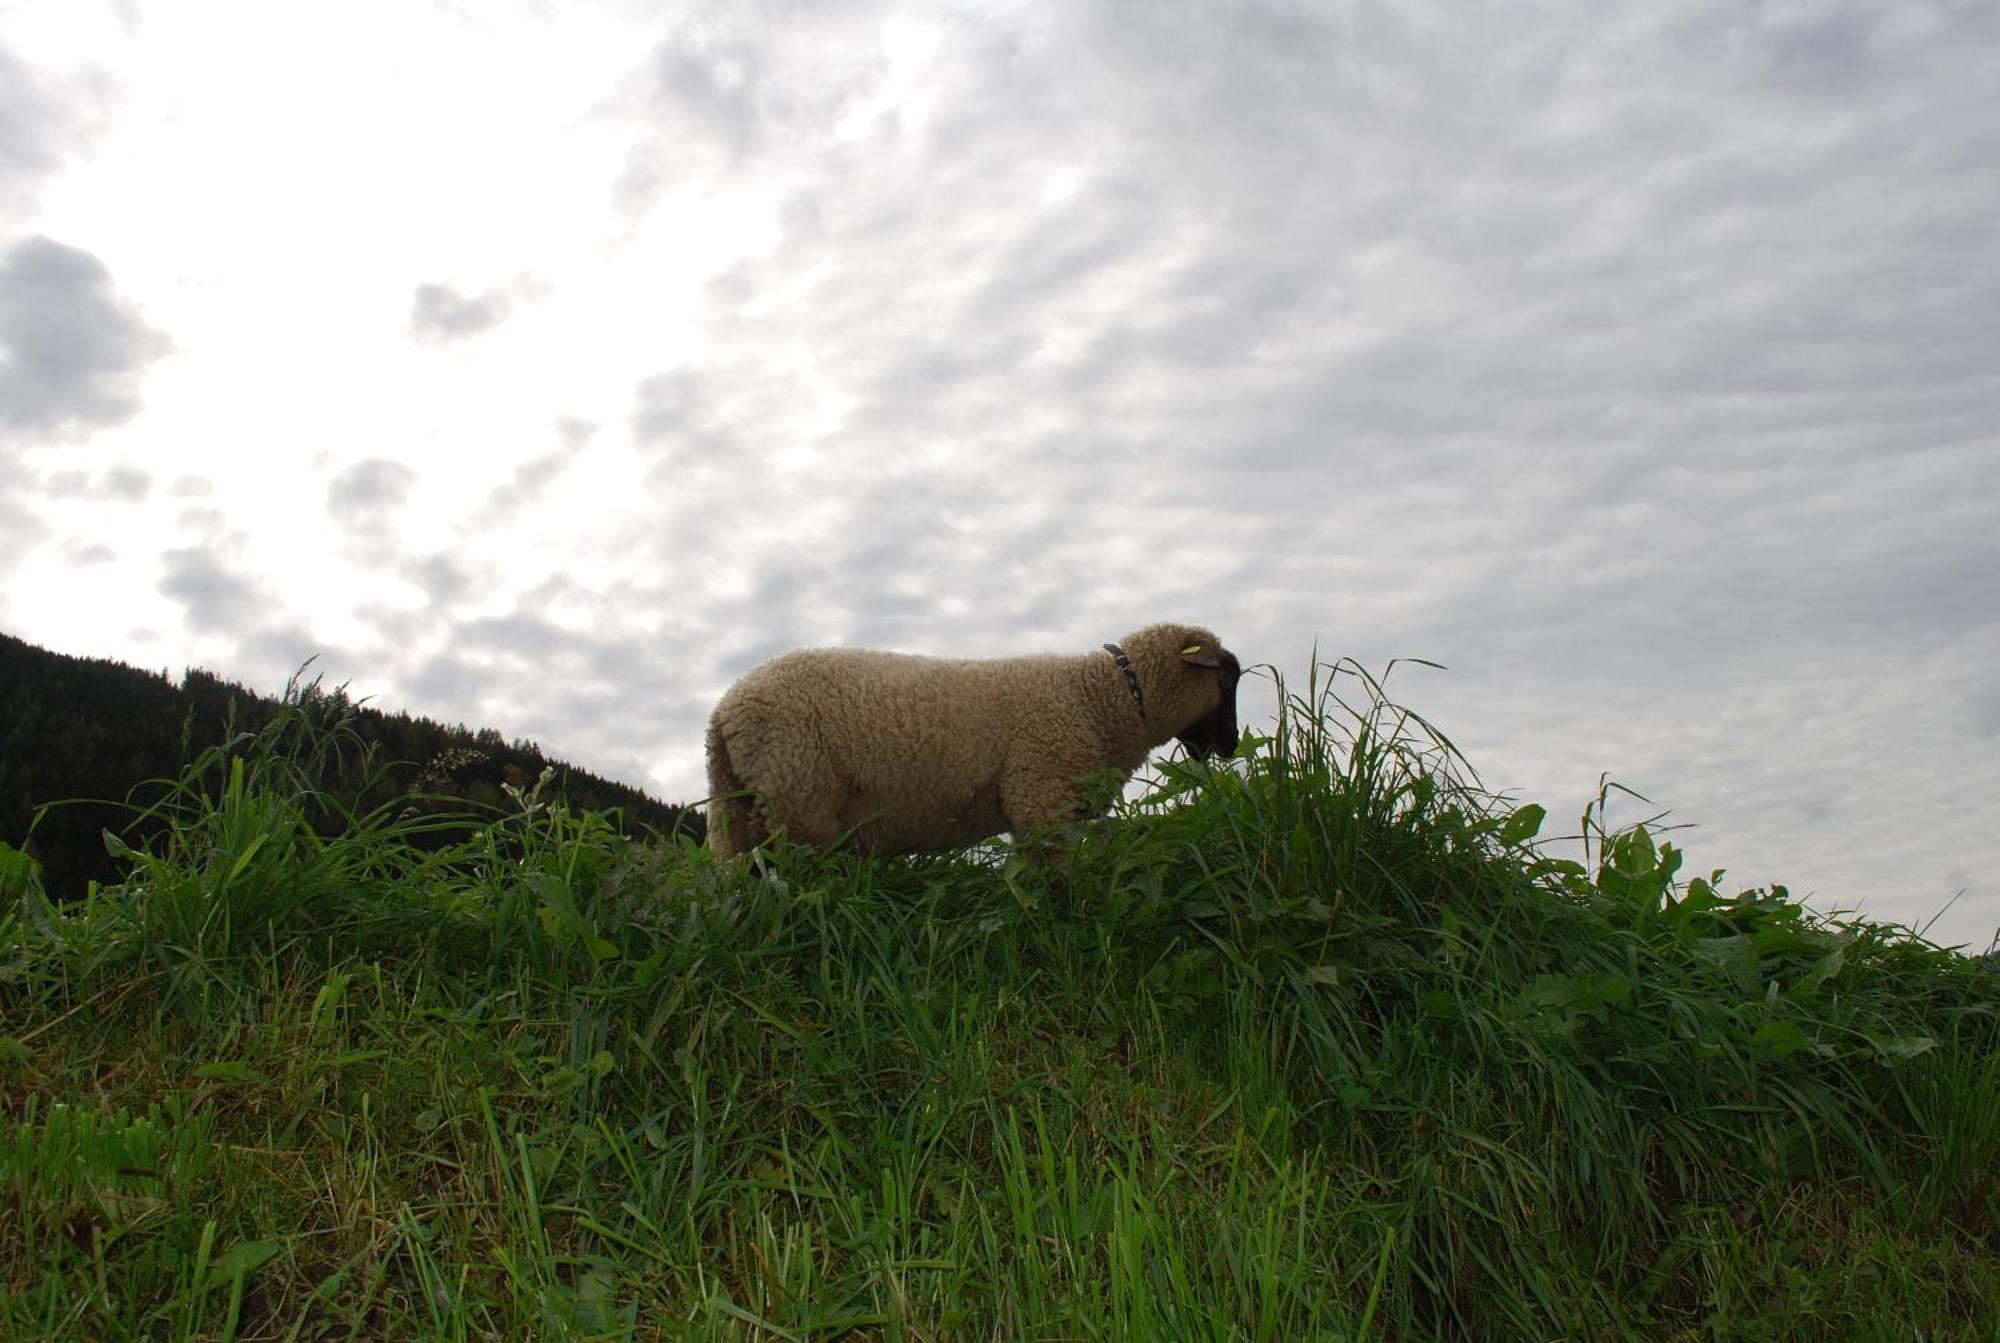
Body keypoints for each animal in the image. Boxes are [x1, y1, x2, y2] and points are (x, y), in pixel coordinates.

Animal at [704, 623, 1232, 859]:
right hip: (799, 801)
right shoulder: (1041, 800)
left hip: (739, 814)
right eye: (1229, 676)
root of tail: (725, 709)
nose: (1229, 748)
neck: (1099, 700)